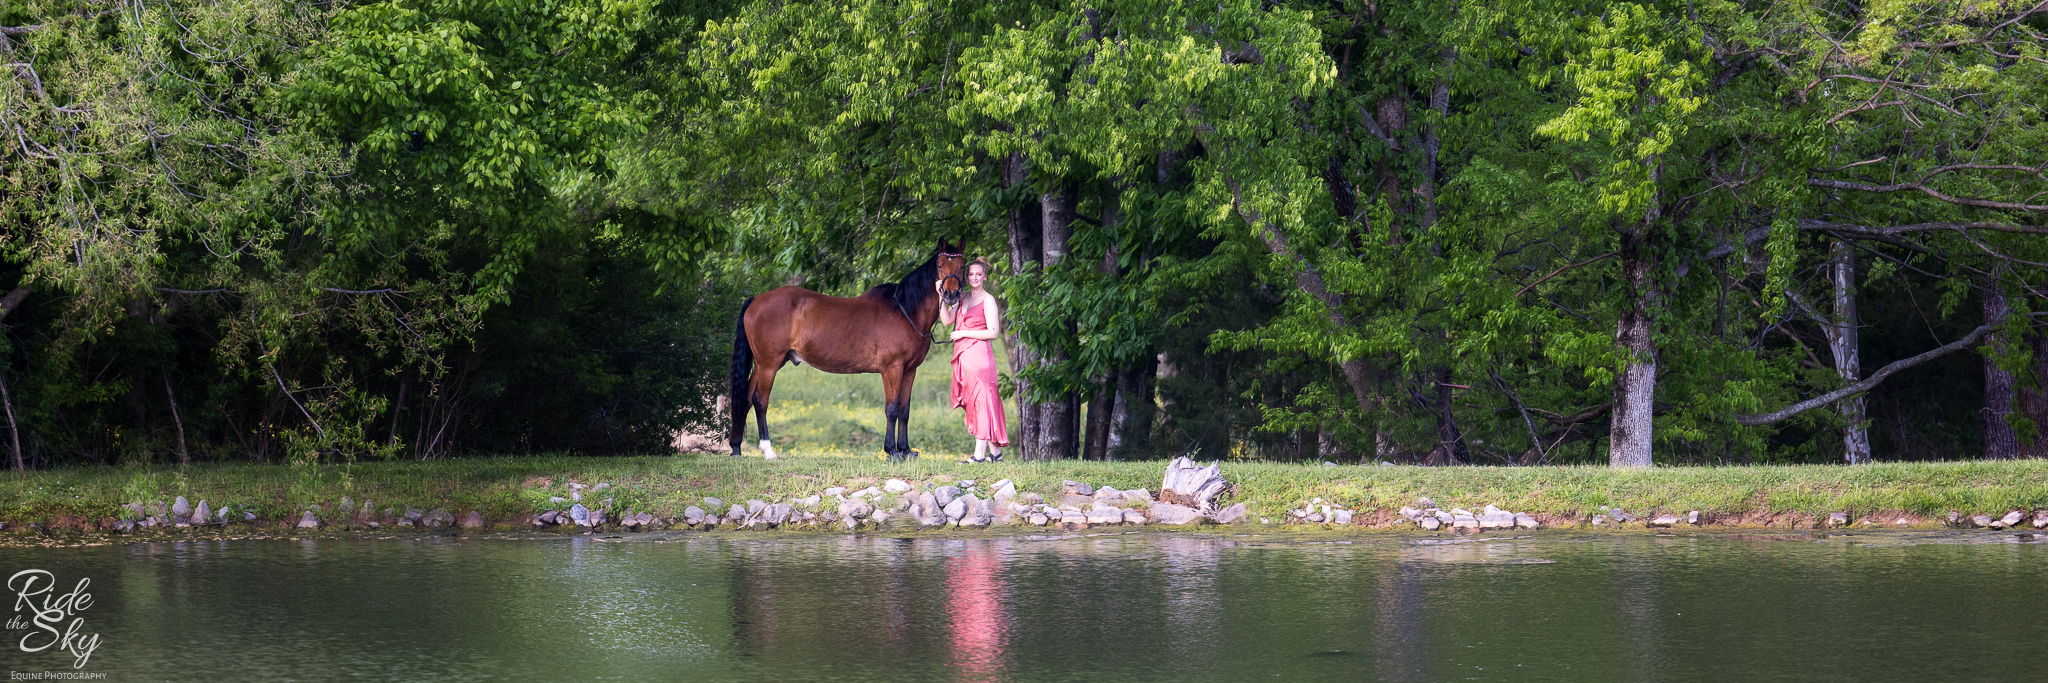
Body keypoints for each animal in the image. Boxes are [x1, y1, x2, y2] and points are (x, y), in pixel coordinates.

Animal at [729, 238, 966, 457]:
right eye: (939, 265)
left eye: (962, 266)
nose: (951, 294)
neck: (905, 311)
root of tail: (756, 299)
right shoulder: (892, 369)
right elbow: (891, 409)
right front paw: (891, 451)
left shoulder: (909, 370)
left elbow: (904, 410)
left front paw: (906, 450)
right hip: (769, 364)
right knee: (760, 400)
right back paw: (768, 451)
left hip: (764, 364)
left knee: (746, 397)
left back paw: (736, 448)